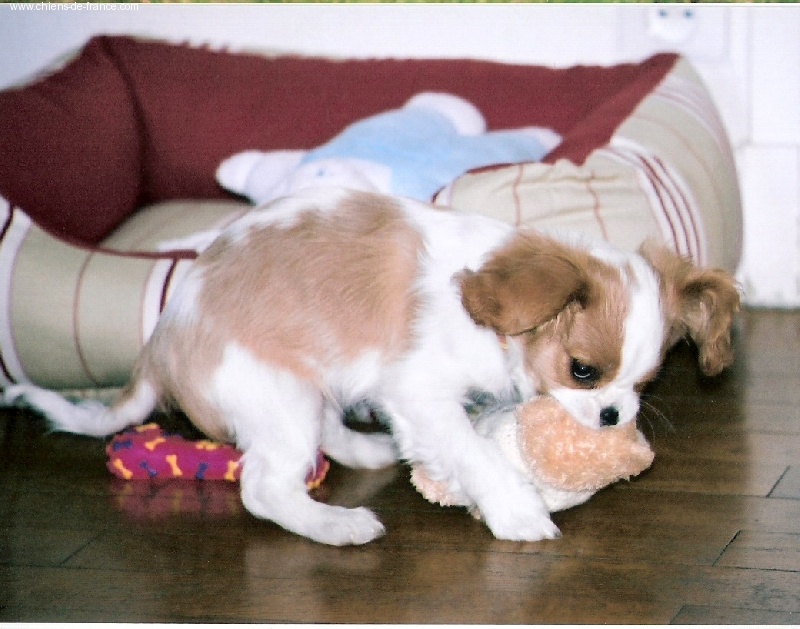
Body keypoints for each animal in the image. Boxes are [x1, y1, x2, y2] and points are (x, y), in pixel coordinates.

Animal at [4, 187, 740, 545]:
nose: (614, 416)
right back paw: (336, 526)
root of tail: (160, 340)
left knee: (323, 437)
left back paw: (368, 450)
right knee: (263, 488)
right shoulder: (418, 390)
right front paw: (514, 510)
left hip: (310, 389)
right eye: (583, 370)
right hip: (281, 395)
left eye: (643, 383)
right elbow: (474, 450)